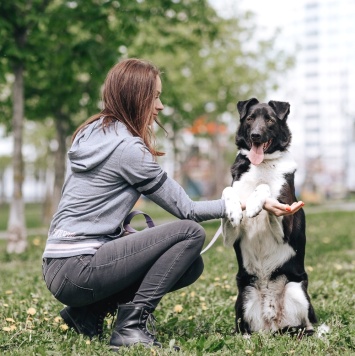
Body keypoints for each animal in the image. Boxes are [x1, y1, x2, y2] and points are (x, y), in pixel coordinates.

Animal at [224, 98, 318, 336]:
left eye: (269, 120)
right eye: (250, 118)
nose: (256, 135)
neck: (263, 163)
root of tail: (272, 321)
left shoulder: (287, 223)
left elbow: (266, 189)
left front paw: (257, 201)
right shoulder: (231, 236)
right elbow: (228, 192)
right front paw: (234, 208)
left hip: (297, 290)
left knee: (307, 326)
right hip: (244, 295)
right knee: (244, 330)